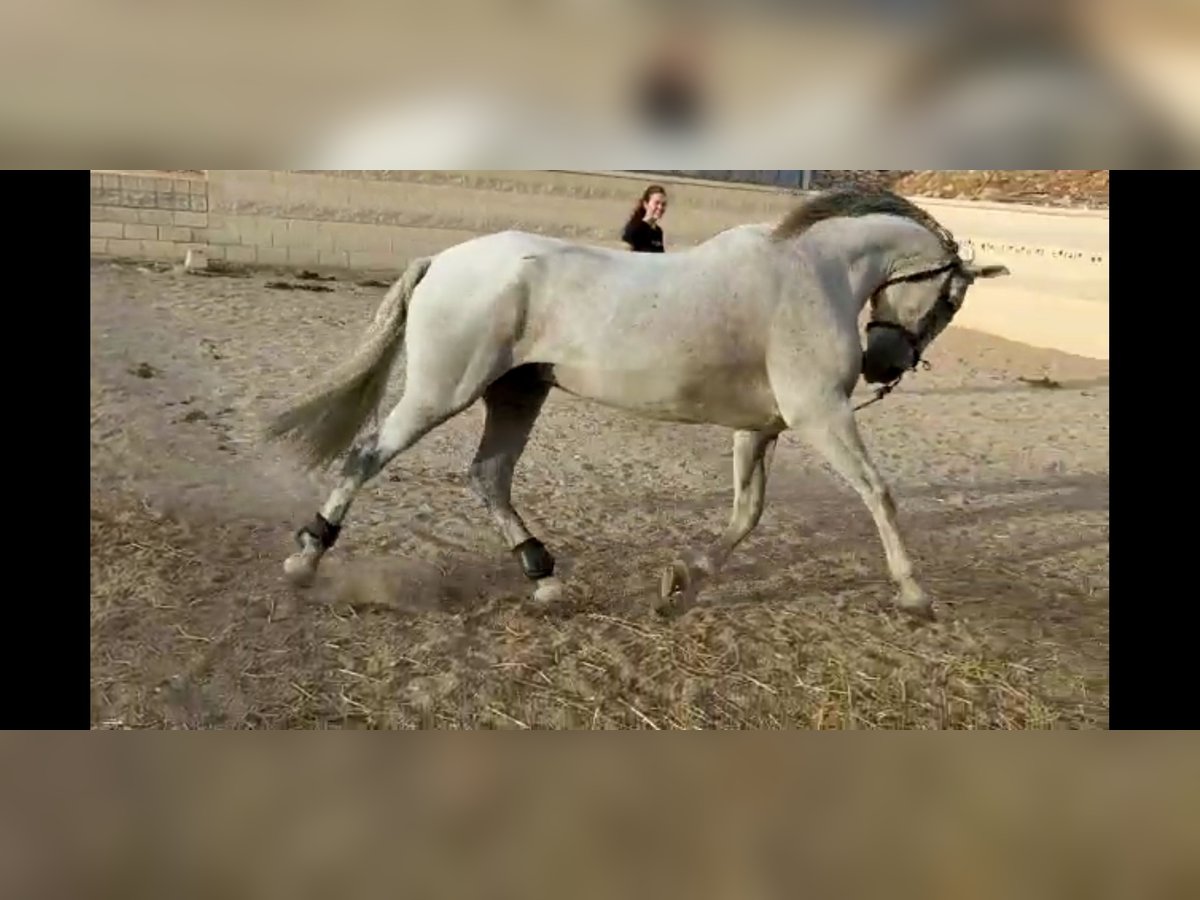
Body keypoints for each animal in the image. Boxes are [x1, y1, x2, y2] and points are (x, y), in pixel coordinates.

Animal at [267, 187, 1008, 619]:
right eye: (952, 300)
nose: (884, 364)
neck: (811, 275)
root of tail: (442, 261)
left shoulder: (761, 429)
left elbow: (747, 514)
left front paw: (682, 582)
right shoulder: (819, 415)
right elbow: (878, 494)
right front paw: (915, 595)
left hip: (518, 393)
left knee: (488, 476)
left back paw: (544, 577)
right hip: (441, 392)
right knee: (367, 455)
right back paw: (305, 559)